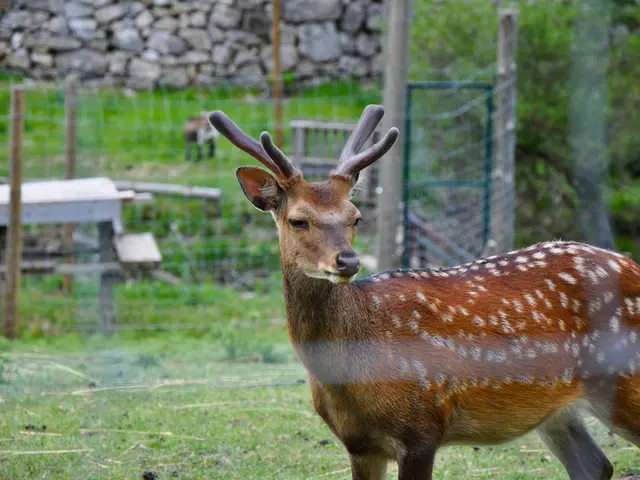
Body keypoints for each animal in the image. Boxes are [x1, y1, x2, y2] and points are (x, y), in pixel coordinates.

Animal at [208, 105, 640, 480]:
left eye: (355, 218)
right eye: (299, 220)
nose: (347, 262)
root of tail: (631, 265)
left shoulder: (421, 427)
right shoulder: (359, 444)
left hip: (625, 380)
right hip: (557, 412)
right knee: (596, 465)